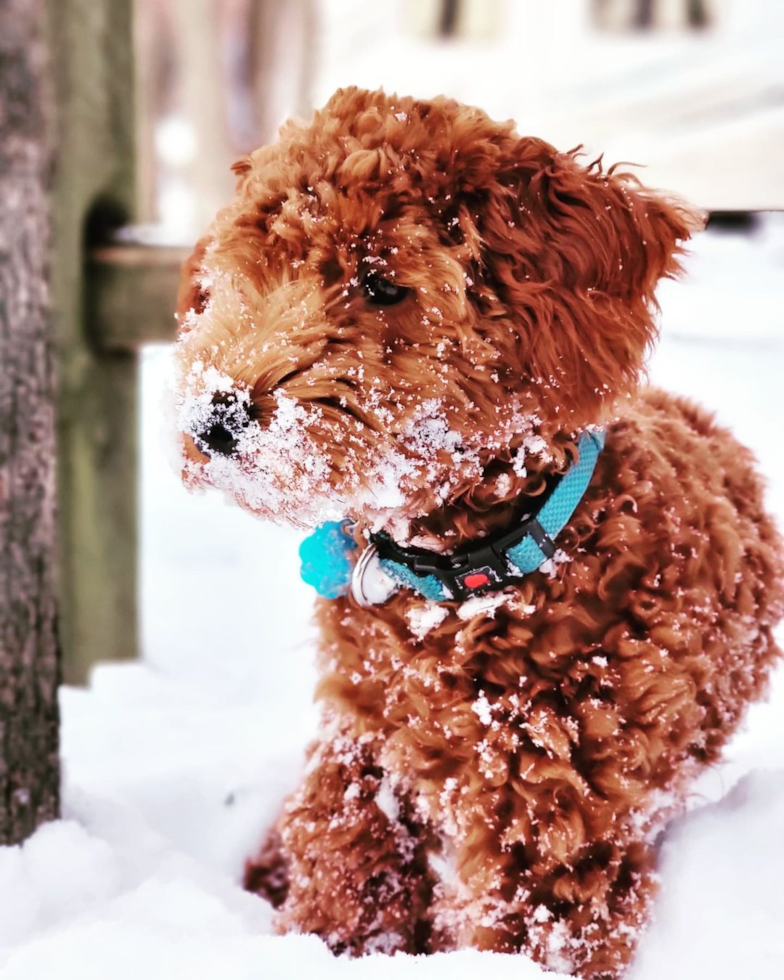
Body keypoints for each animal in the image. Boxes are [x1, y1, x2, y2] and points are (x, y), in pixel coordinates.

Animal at [173, 88, 784, 976]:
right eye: (248, 268)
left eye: (381, 283)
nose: (214, 419)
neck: (458, 584)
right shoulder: (360, 749)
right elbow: (343, 877)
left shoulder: (557, 811)